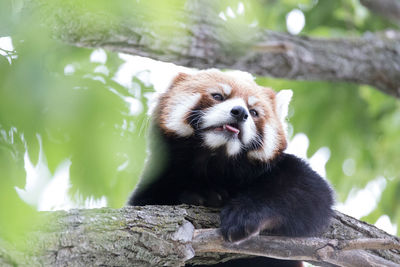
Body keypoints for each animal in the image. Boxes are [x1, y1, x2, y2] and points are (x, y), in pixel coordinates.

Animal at [129, 69, 334, 267]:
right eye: (218, 96)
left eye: (253, 112)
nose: (240, 112)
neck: (214, 161)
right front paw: (200, 195)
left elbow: (309, 193)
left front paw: (244, 216)